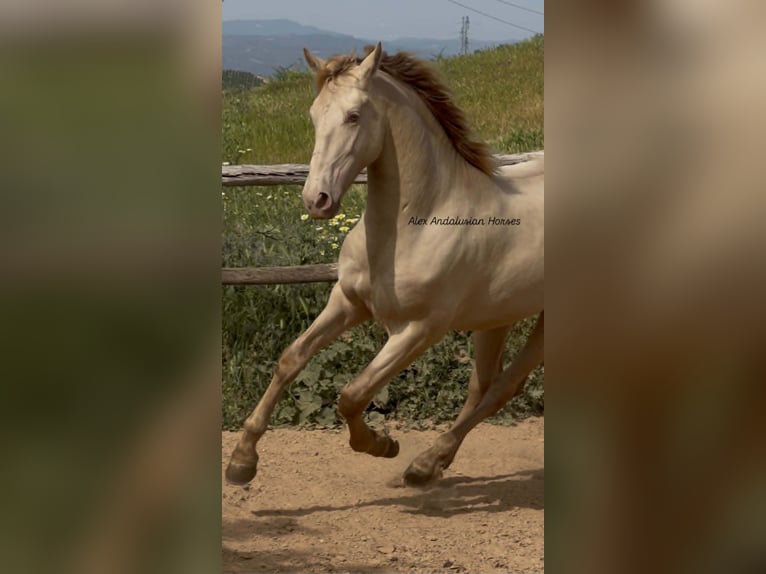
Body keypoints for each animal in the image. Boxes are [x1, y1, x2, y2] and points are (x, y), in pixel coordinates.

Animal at [226, 42, 544, 487]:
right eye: (313, 114)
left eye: (354, 115)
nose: (315, 200)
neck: (420, 224)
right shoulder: (348, 301)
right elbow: (290, 359)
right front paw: (242, 460)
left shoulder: (418, 330)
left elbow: (352, 394)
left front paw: (381, 444)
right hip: (496, 317)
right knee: (484, 387)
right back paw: (431, 465)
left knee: (505, 386)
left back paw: (423, 464)